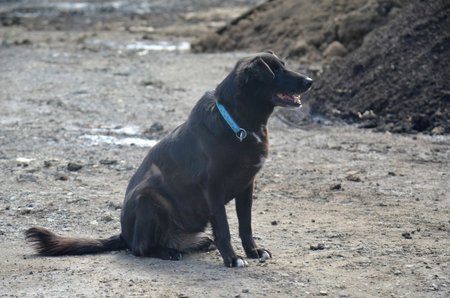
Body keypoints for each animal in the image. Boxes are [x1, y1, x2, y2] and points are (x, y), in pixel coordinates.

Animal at [25, 51, 312, 268]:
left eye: (284, 65)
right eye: (275, 71)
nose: (310, 80)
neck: (238, 122)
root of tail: (123, 235)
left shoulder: (247, 186)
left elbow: (245, 226)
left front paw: (253, 252)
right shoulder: (213, 189)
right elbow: (224, 228)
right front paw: (232, 259)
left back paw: (197, 243)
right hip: (149, 199)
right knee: (139, 248)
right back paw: (167, 251)